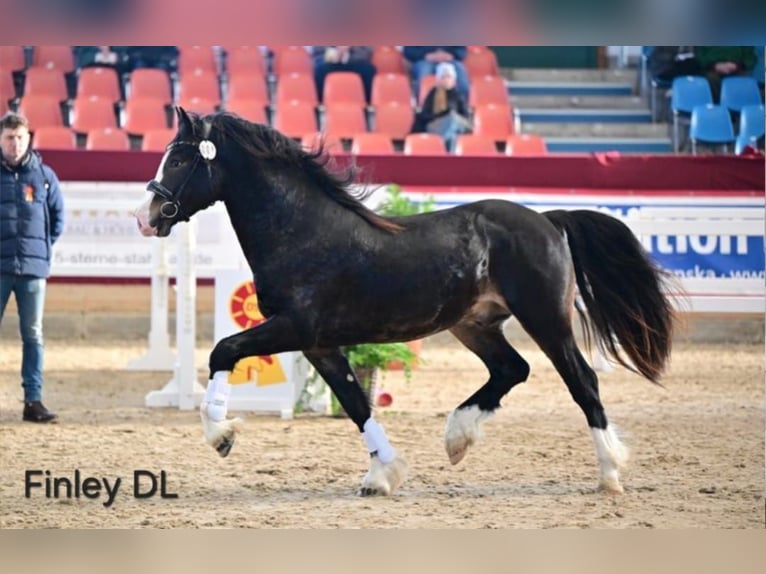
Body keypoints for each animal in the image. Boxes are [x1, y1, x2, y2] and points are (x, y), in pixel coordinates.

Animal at [135, 107, 675, 496]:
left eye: (179, 160)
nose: (146, 216)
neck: (302, 231)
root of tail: (548, 219)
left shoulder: (296, 327)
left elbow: (222, 350)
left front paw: (222, 435)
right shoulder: (319, 344)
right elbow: (356, 402)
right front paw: (383, 475)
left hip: (546, 319)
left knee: (581, 381)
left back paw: (609, 473)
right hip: (474, 324)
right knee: (511, 369)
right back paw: (458, 438)